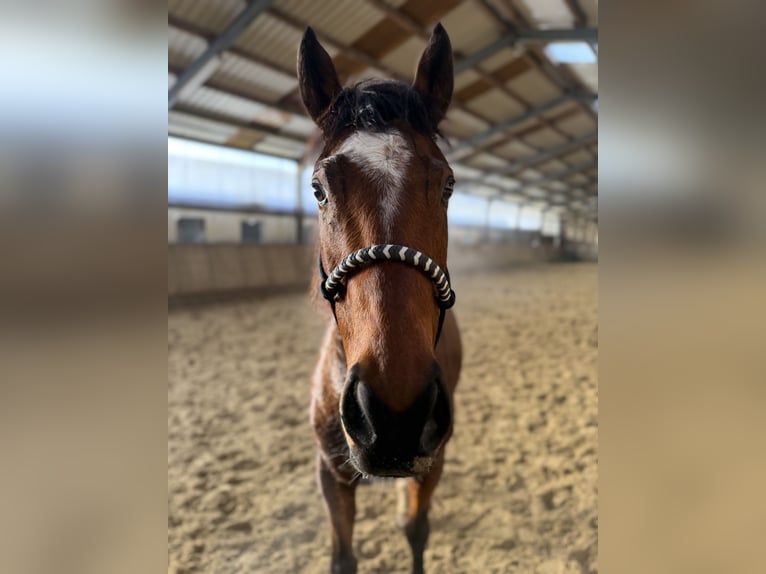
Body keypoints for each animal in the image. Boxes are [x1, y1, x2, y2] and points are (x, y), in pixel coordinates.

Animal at [297, 23, 462, 574]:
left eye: (448, 185)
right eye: (319, 188)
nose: (395, 416)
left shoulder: (434, 460)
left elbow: (415, 528)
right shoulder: (330, 474)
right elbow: (342, 558)